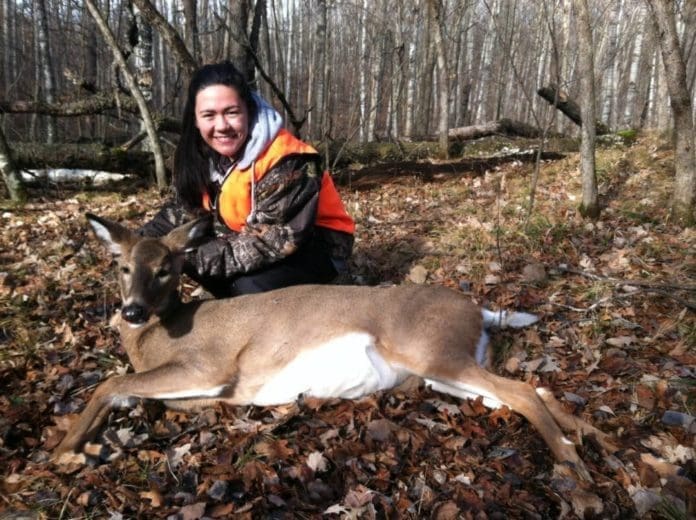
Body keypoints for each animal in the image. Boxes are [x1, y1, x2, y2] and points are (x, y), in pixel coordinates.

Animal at [54, 213, 617, 483]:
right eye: (122, 266)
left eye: (166, 268)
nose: (131, 311)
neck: (158, 335)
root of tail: (478, 309)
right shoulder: (209, 390)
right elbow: (134, 394)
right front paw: (97, 444)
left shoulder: (207, 365)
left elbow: (113, 382)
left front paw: (66, 450)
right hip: (446, 372)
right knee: (533, 391)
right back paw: (597, 442)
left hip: (433, 352)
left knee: (524, 391)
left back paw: (574, 468)